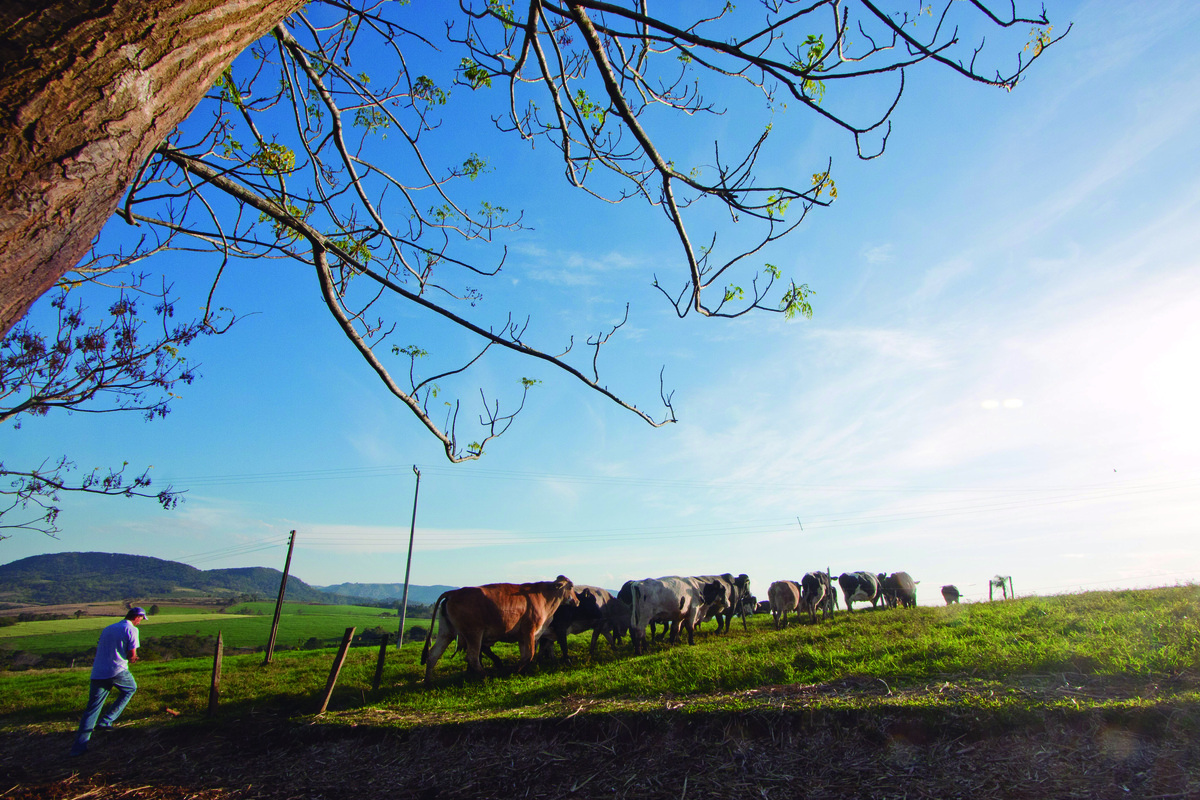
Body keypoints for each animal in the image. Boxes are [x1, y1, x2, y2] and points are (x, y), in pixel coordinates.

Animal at [420, 575, 573, 681]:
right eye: (571, 586)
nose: (576, 601)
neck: (544, 597)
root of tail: (453, 593)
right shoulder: (529, 630)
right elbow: (529, 654)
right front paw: (515, 670)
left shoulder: (522, 636)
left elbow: (525, 653)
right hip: (474, 633)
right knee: (472, 657)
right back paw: (485, 675)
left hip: (446, 633)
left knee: (433, 654)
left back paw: (428, 681)